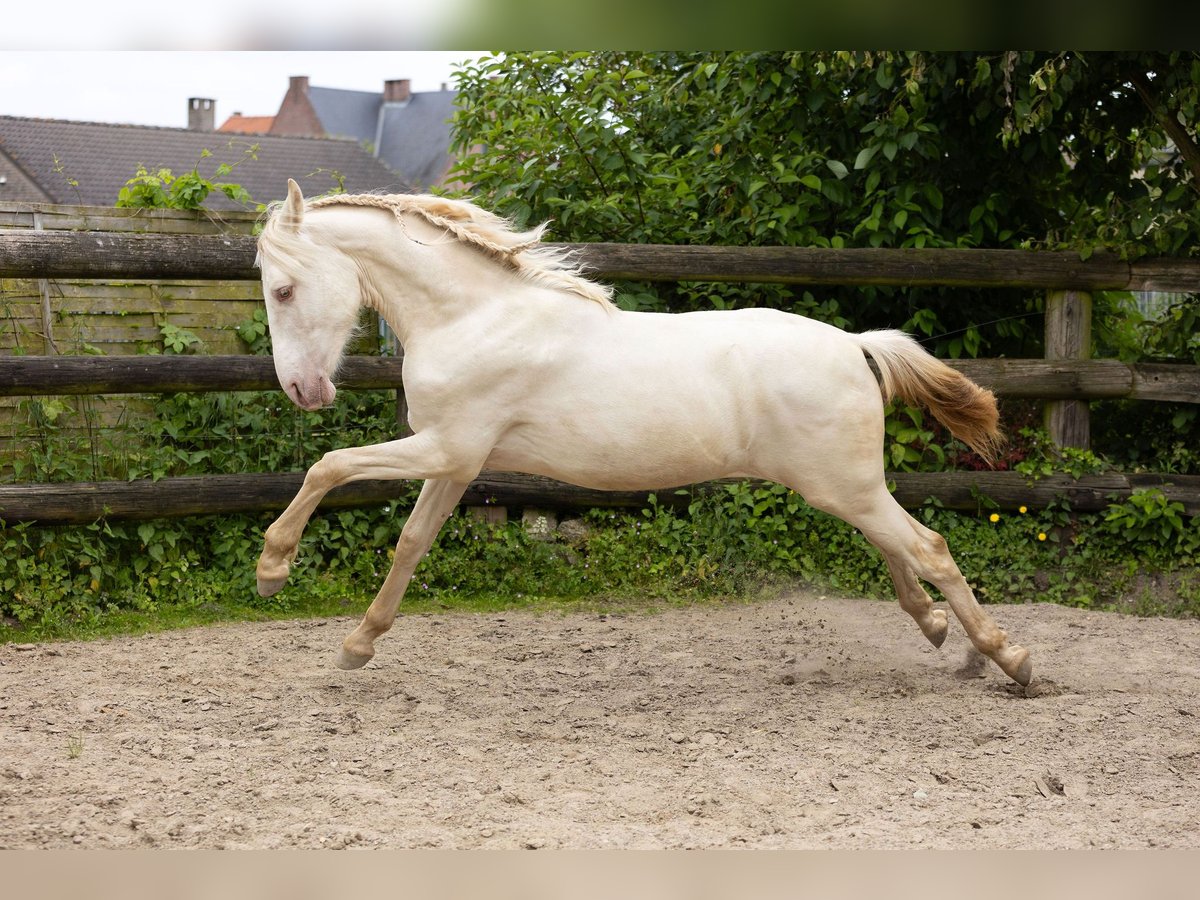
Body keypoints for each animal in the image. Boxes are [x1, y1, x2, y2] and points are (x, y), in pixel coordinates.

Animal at [255, 180, 1032, 686]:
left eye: (283, 290)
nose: (302, 391)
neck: (473, 318)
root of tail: (855, 345)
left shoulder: (446, 447)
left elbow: (329, 465)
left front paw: (272, 569)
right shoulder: (457, 462)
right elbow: (411, 544)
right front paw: (358, 645)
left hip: (843, 484)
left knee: (928, 547)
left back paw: (1009, 659)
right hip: (842, 485)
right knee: (899, 545)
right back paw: (943, 633)